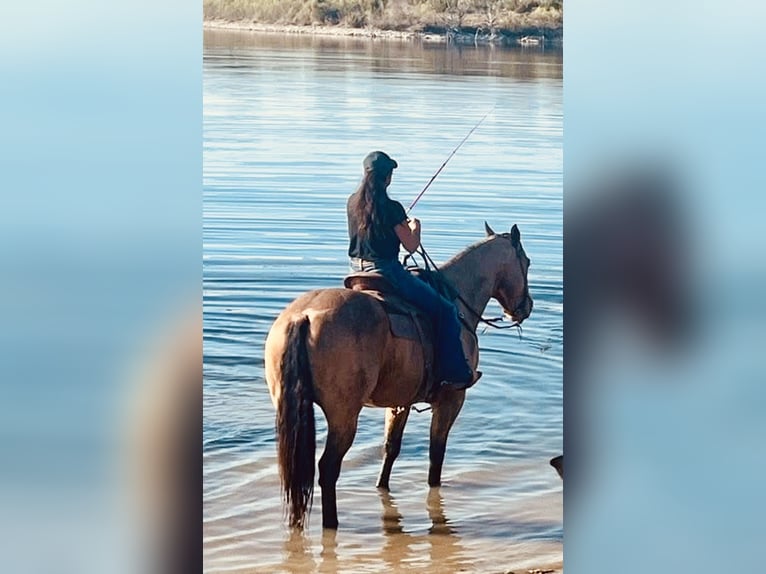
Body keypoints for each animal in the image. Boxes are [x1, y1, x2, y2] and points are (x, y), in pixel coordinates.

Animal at [264, 222, 533, 530]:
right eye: (526, 262)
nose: (526, 307)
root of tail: (304, 316)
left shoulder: (399, 402)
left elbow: (390, 449)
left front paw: (382, 487)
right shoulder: (451, 400)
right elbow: (436, 456)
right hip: (344, 416)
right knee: (328, 468)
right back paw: (331, 523)